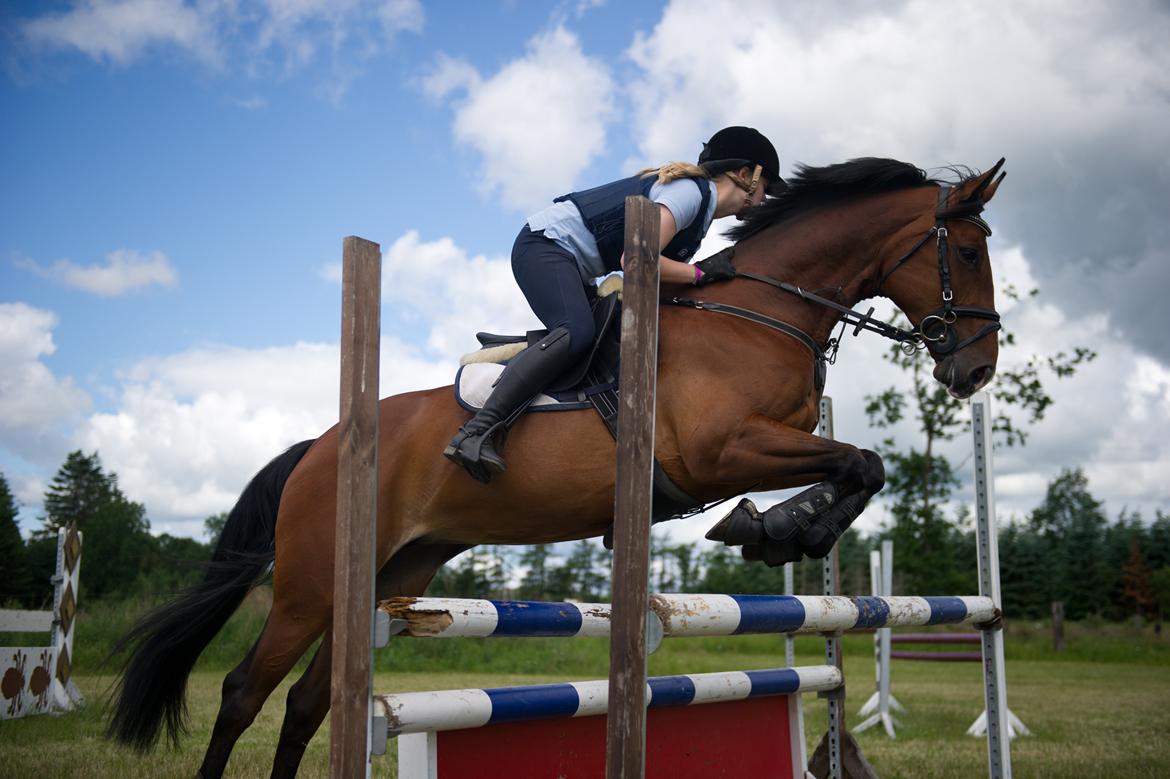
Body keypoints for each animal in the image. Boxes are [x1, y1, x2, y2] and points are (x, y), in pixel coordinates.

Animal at [107, 154, 1006, 771]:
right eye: (966, 250)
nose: (977, 370)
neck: (760, 309)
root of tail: (325, 442)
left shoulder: (763, 444)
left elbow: (858, 466)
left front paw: (785, 528)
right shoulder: (723, 450)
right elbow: (862, 461)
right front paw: (775, 527)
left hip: (394, 569)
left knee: (304, 701)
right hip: (309, 581)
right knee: (244, 692)